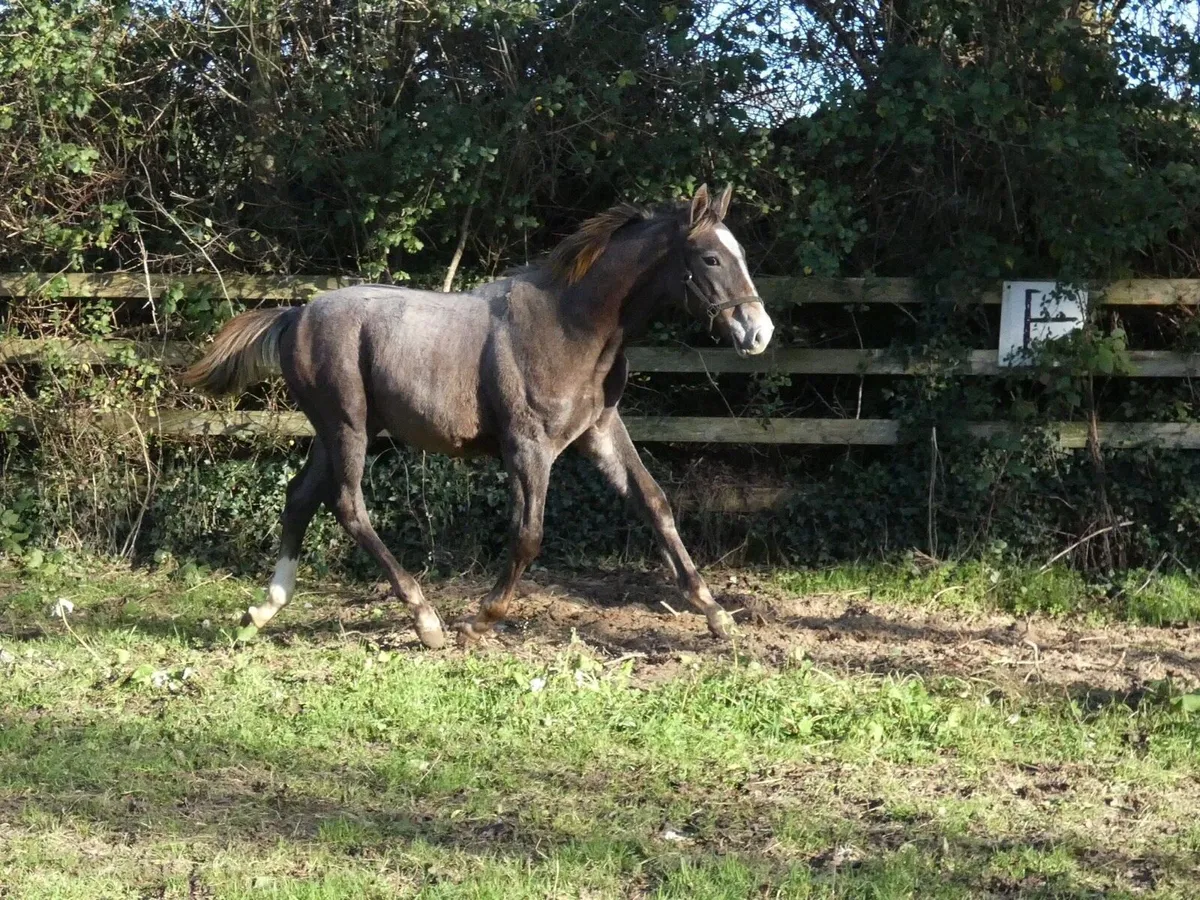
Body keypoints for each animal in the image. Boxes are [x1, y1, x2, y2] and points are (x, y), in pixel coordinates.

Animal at [183, 183, 774, 649]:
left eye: (742, 253)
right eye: (711, 259)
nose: (758, 332)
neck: (572, 325)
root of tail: (296, 313)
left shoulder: (600, 431)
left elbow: (655, 504)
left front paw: (716, 613)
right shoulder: (528, 447)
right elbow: (528, 534)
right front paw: (480, 620)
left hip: (338, 432)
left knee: (301, 496)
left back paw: (265, 608)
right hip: (345, 426)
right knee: (348, 506)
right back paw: (426, 620)